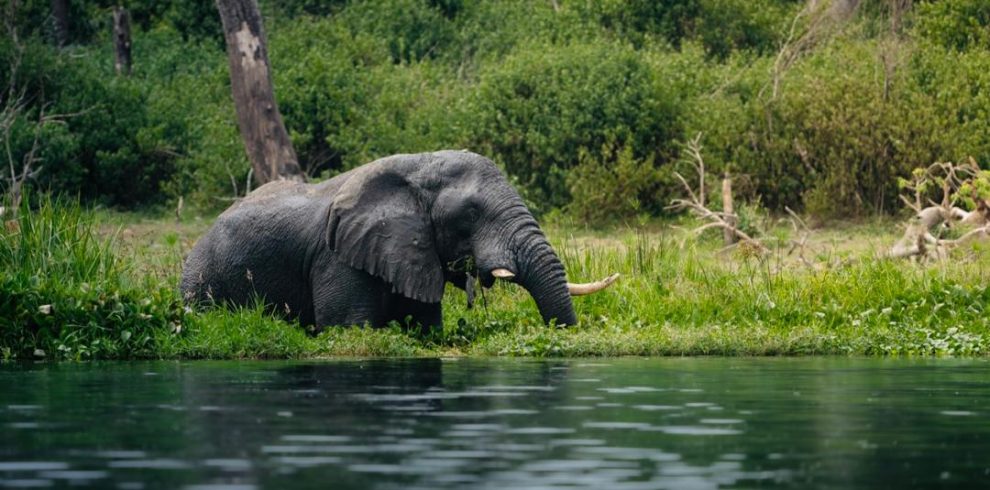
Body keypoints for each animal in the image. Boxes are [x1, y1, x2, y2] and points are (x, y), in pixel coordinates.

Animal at [180, 150, 617, 330]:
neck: (415, 169)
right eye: (470, 215)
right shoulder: (337, 257)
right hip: (201, 284)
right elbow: (348, 328)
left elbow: (425, 325)